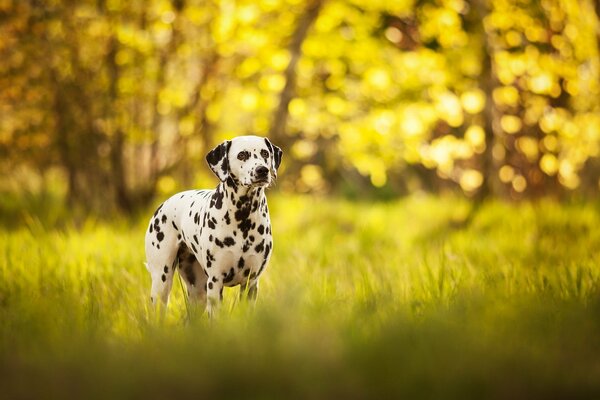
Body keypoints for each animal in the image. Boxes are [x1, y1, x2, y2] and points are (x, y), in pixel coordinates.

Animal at [147, 136, 284, 318]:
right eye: (242, 155)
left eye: (265, 153)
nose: (262, 170)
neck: (243, 216)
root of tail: (164, 204)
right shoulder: (215, 282)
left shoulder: (251, 283)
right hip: (162, 281)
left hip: (197, 290)